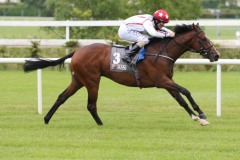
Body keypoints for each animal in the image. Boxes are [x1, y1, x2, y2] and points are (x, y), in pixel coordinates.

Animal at [23, 23, 219, 126]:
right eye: (203, 39)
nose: (216, 55)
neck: (161, 52)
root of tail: (77, 51)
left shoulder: (166, 82)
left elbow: (180, 100)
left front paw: (197, 118)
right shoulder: (161, 80)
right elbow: (186, 91)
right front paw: (201, 114)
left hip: (78, 80)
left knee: (61, 97)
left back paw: (47, 119)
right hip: (92, 80)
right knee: (91, 105)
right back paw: (101, 124)